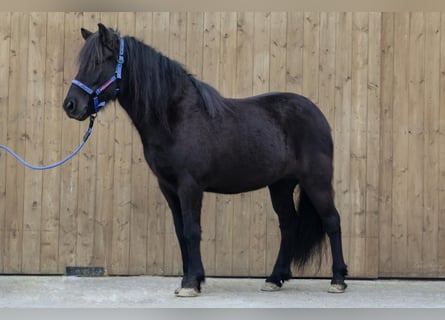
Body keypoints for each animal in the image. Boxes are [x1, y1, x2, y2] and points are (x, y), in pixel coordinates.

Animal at [62, 23, 346, 296]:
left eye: (100, 61)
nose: (70, 105)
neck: (175, 117)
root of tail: (318, 115)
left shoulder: (190, 186)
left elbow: (191, 231)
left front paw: (190, 283)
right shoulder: (168, 187)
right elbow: (180, 232)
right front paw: (191, 279)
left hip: (316, 181)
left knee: (332, 220)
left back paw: (338, 280)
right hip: (281, 185)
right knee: (288, 224)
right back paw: (274, 279)